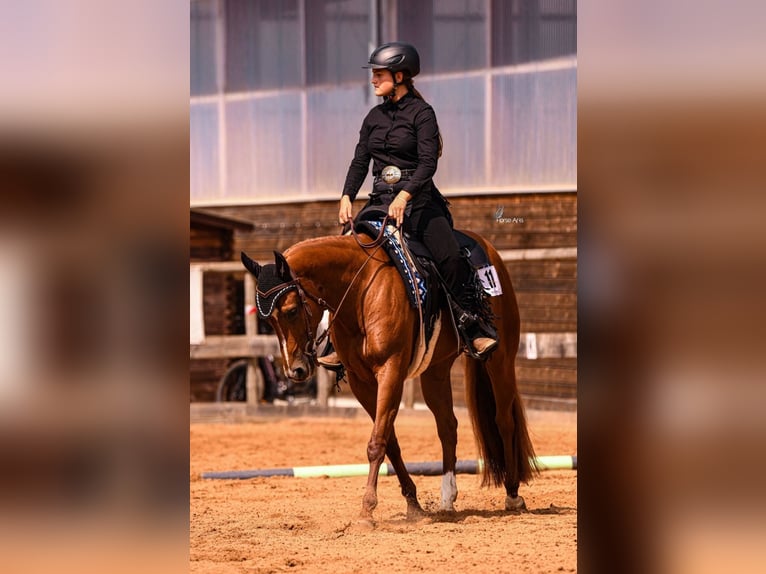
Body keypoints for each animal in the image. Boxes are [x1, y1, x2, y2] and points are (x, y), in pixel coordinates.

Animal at [241, 229, 537, 526]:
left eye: (291, 310)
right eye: (269, 321)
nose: (296, 370)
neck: (361, 290)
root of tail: (486, 247)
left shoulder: (390, 370)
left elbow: (377, 442)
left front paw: (367, 509)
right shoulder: (361, 381)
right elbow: (389, 440)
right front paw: (413, 504)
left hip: (501, 360)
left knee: (504, 420)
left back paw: (512, 493)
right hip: (435, 371)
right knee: (447, 426)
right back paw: (447, 498)